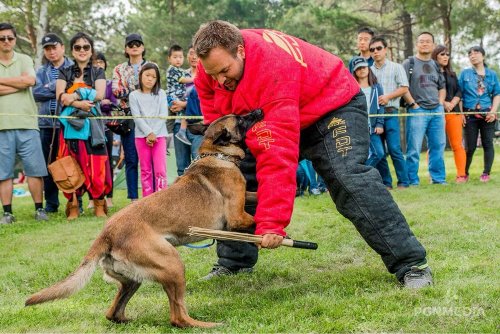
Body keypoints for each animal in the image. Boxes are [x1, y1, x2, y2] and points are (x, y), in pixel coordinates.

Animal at [26, 108, 266, 328]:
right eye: (241, 119)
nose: (259, 110)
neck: (218, 155)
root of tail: (106, 234)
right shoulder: (236, 218)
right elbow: (253, 221)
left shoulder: (245, 198)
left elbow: (257, 195)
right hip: (173, 265)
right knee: (177, 317)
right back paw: (208, 325)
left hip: (133, 280)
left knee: (113, 313)